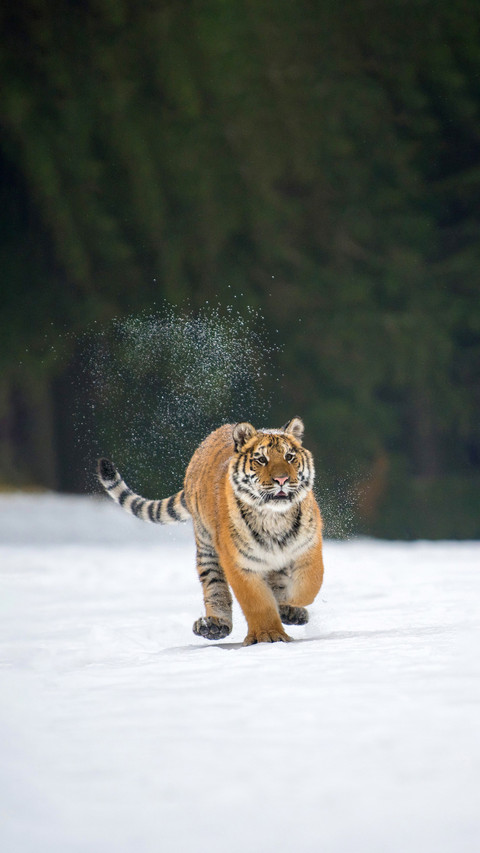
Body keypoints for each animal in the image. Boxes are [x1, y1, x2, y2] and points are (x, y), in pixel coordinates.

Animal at [97, 417, 324, 645]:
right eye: (261, 459)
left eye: (289, 457)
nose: (282, 480)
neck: (274, 517)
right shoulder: (239, 563)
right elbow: (257, 602)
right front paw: (269, 634)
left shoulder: (308, 547)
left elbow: (310, 583)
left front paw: (290, 604)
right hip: (207, 548)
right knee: (215, 587)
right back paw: (214, 625)